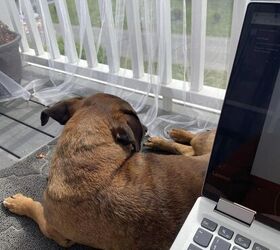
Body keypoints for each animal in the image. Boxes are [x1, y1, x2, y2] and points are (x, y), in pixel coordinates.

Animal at [2, 93, 214, 248]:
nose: (146, 128)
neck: (86, 157)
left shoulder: (53, 230)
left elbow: (36, 208)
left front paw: (19, 202)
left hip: (203, 145)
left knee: (196, 141)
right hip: (197, 152)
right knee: (188, 149)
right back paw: (169, 136)